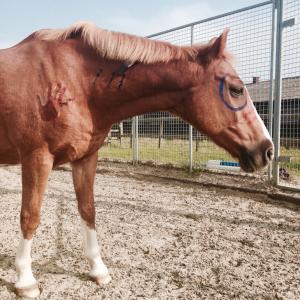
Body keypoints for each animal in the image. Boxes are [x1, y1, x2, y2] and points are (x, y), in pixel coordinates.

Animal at [0, 21, 272, 298]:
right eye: (236, 90)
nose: (267, 150)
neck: (76, 81)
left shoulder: (85, 158)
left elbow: (88, 211)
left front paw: (98, 269)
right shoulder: (37, 157)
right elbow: (30, 216)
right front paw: (25, 280)